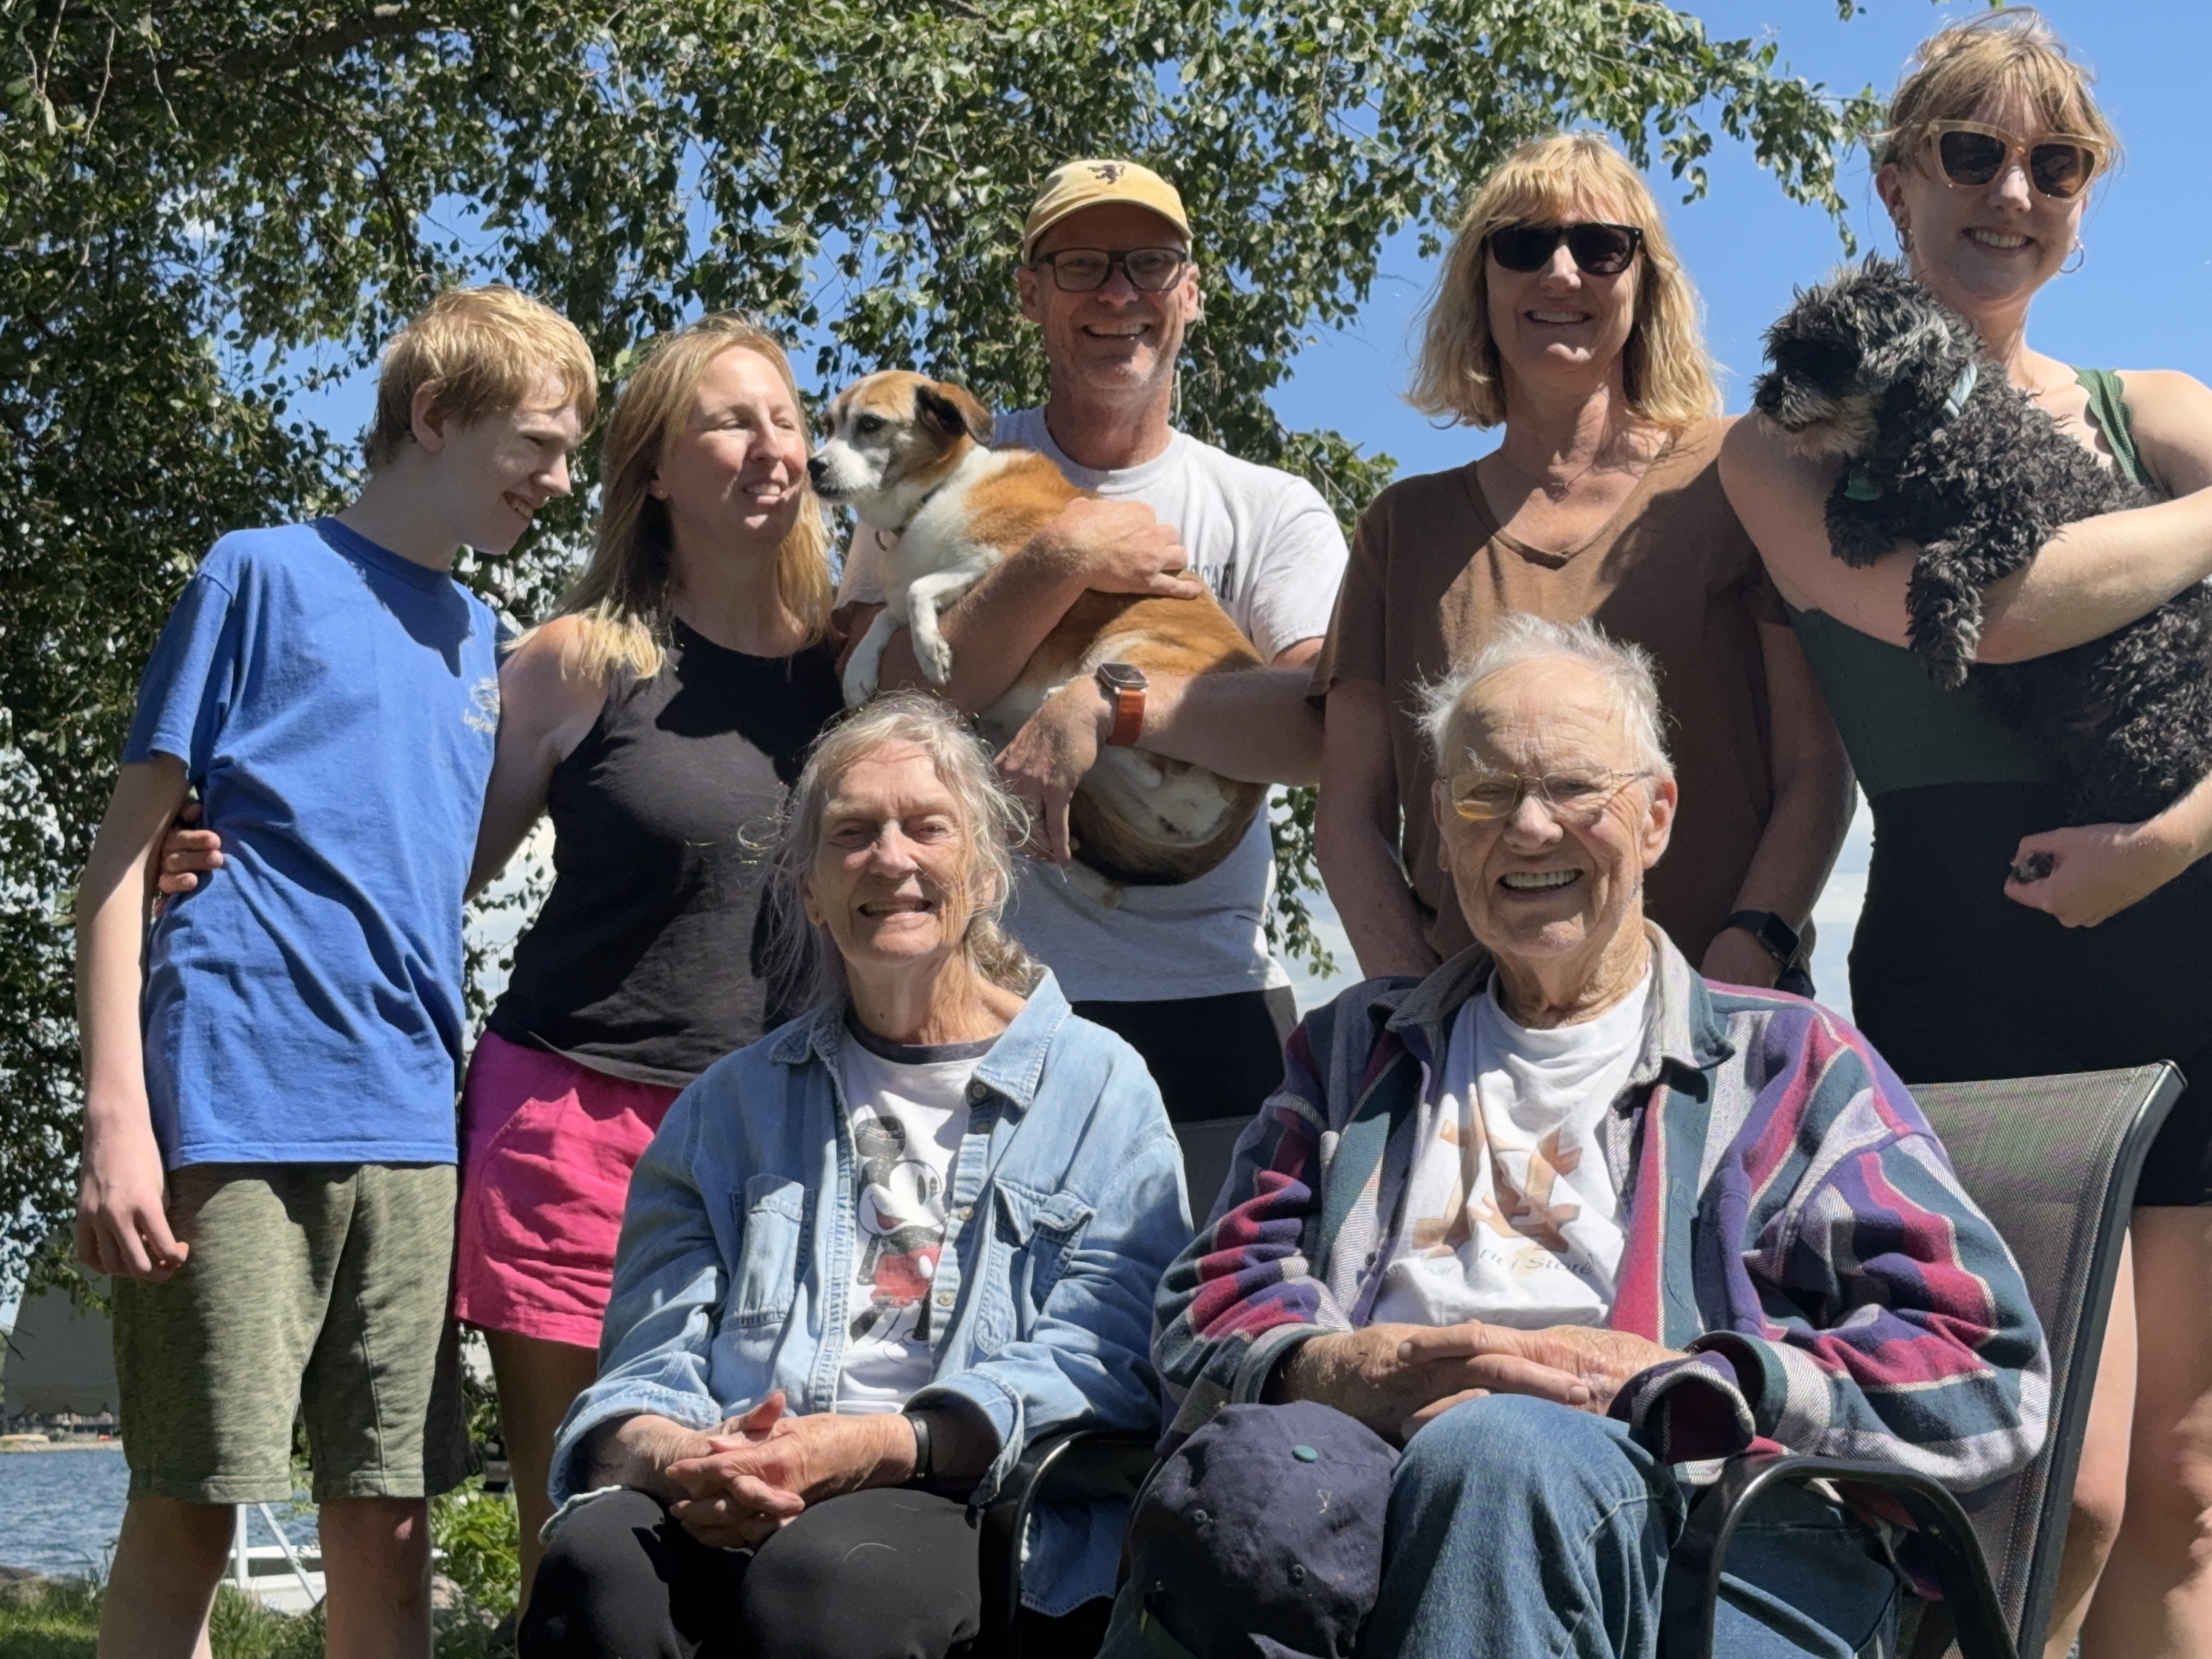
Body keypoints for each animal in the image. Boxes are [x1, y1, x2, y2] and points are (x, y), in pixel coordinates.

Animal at [809, 370, 1266, 896]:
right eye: (829, 425)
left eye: (870, 424)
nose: (813, 467)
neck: (938, 491)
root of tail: (1249, 797)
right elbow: (890, 610)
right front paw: (862, 669)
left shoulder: (1001, 558)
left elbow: (919, 591)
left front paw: (931, 650)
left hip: (1130, 648)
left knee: (1149, 753)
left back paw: (1058, 699)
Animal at [1752, 257, 2210, 831]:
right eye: (1783, 350)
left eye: (1827, 349)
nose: (1767, 396)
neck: (1944, 428)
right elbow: (1858, 496)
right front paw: (1855, 522)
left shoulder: (2017, 514)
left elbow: (1942, 560)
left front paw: (1944, 644)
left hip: (2145, 724)